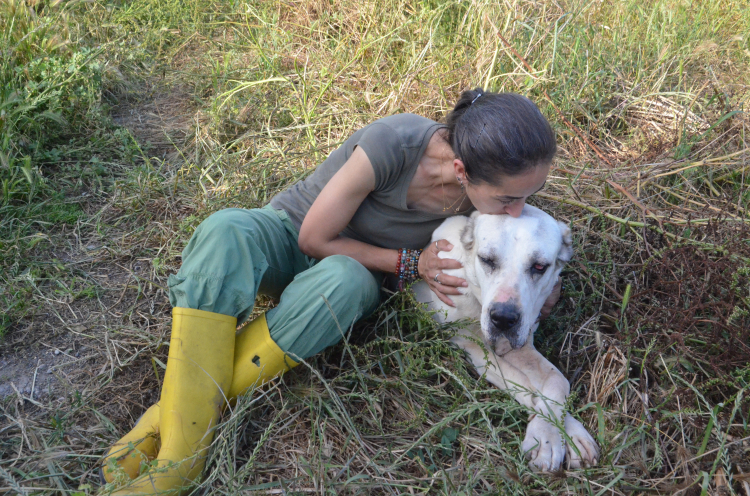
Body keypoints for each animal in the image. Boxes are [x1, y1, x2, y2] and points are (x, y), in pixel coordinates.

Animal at [414, 205, 604, 472]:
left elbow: (557, 380)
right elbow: (523, 382)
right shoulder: (471, 345)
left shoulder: (518, 344)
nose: (503, 318)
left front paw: (559, 434)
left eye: (539, 267)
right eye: (487, 260)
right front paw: (544, 432)